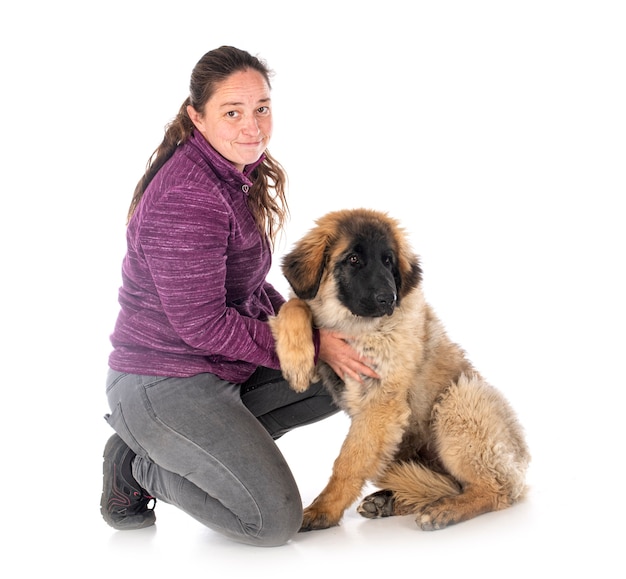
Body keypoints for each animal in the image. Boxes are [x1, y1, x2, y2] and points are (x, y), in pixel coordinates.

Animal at [270, 210, 528, 536]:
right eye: (353, 259)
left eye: (388, 261)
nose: (388, 299)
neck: (352, 325)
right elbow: (294, 305)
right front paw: (296, 361)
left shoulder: (380, 403)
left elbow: (349, 462)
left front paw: (323, 510)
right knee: (442, 484)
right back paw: (392, 501)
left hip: (458, 400)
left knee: (492, 489)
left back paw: (445, 510)